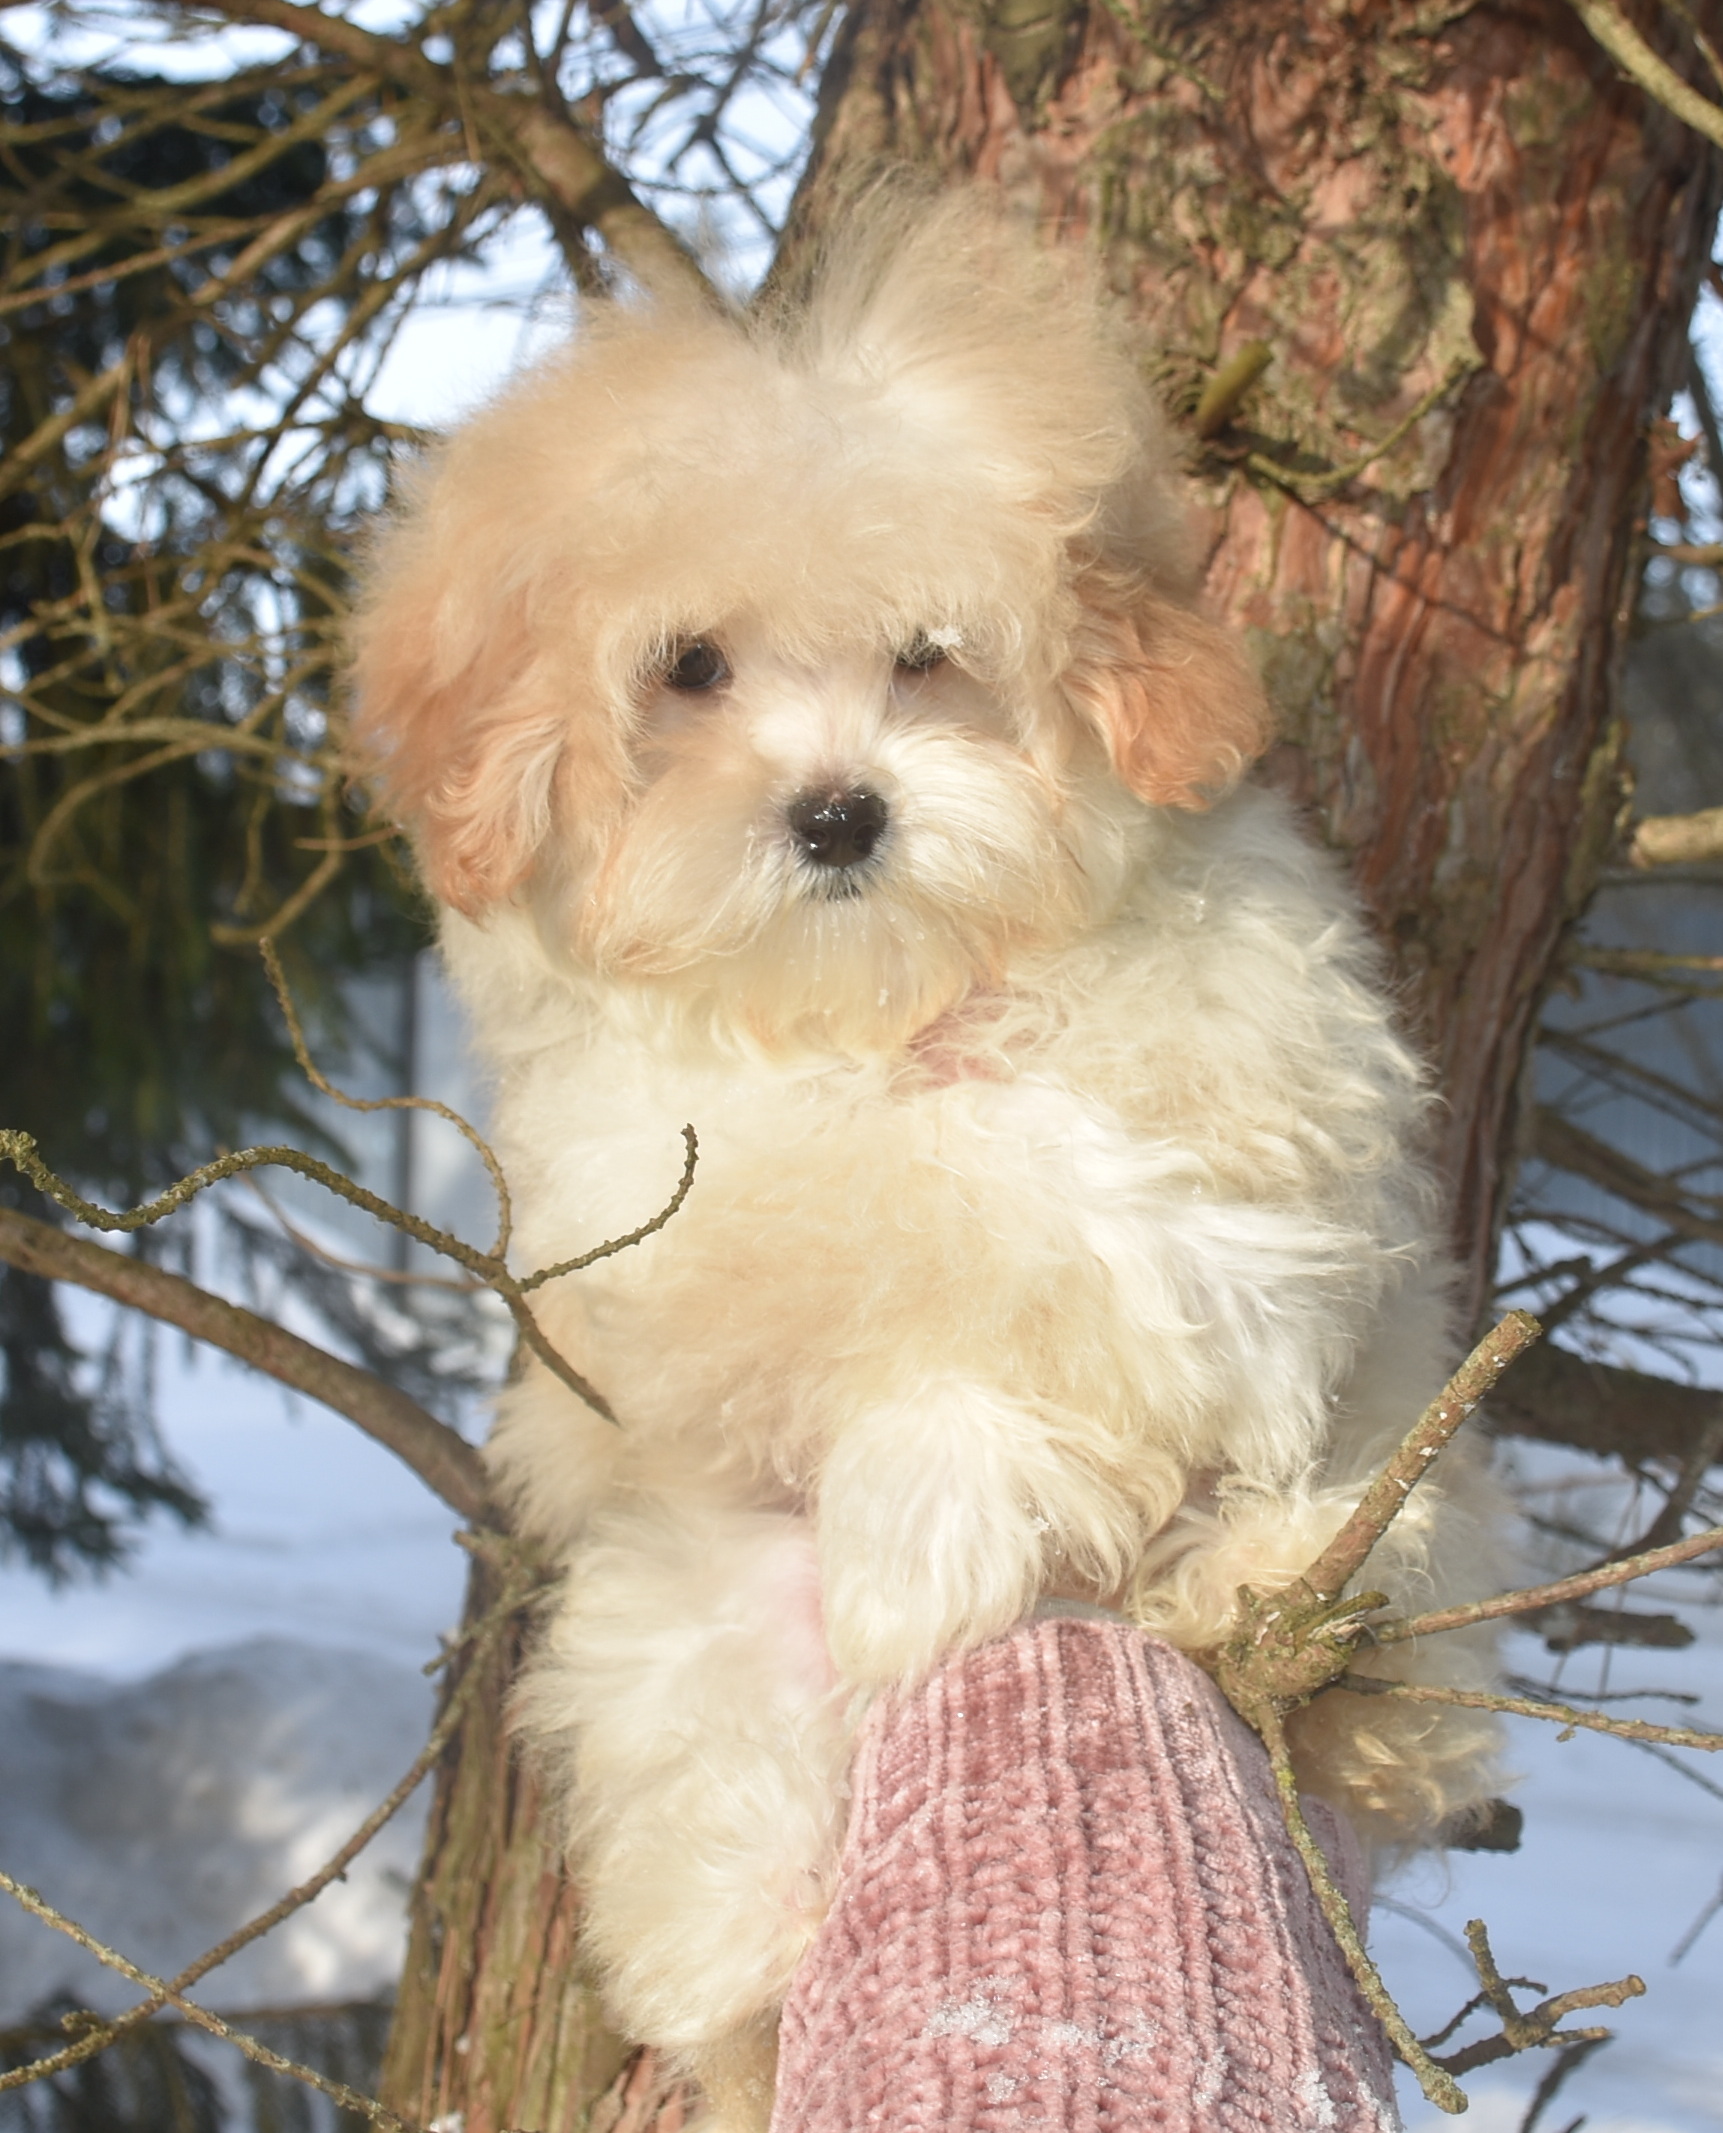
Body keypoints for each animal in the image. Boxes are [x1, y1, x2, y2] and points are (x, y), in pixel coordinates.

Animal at [351, 188, 1503, 2125]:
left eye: (924, 657)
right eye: (690, 669)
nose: (837, 812)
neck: (892, 1000)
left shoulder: (1279, 1053)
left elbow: (1192, 1198)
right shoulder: (653, 1201)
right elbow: (919, 1213)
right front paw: (944, 1518)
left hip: (1397, 1506)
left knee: (1379, 1614)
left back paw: (1272, 1596)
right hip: (680, 1653)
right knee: (721, 1892)